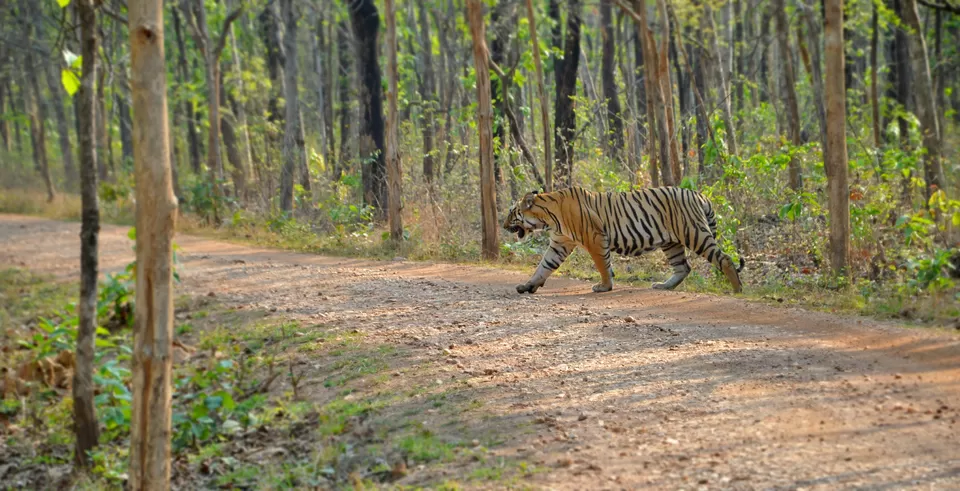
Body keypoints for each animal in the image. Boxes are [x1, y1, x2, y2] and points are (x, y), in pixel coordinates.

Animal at [502, 186, 745, 294]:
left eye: (511, 213)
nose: (503, 226)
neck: (548, 218)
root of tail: (699, 194)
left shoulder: (595, 238)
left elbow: (602, 264)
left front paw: (604, 286)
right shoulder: (560, 244)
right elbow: (543, 266)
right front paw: (528, 286)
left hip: (694, 233)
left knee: (724, 259)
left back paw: (737, 290)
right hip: (672, 243)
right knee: (683, 267)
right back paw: (664, 286)